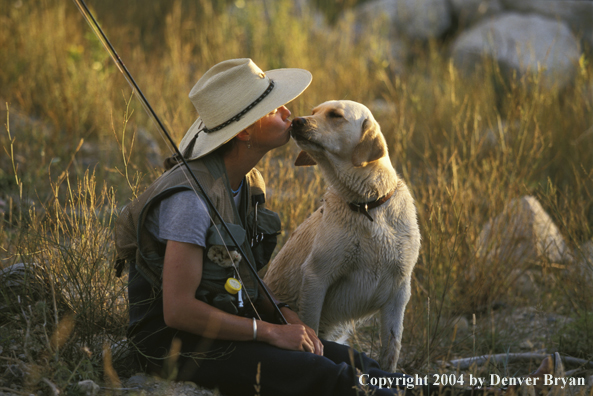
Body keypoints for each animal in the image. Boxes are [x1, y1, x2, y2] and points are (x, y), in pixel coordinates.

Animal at [264, 99, 420, 372]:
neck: (367, 206)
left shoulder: (399, 291)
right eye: (313, 112)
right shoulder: (316, 277)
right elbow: (310, 328)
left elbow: (392, 348)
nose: (296, 121)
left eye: (335, 115)